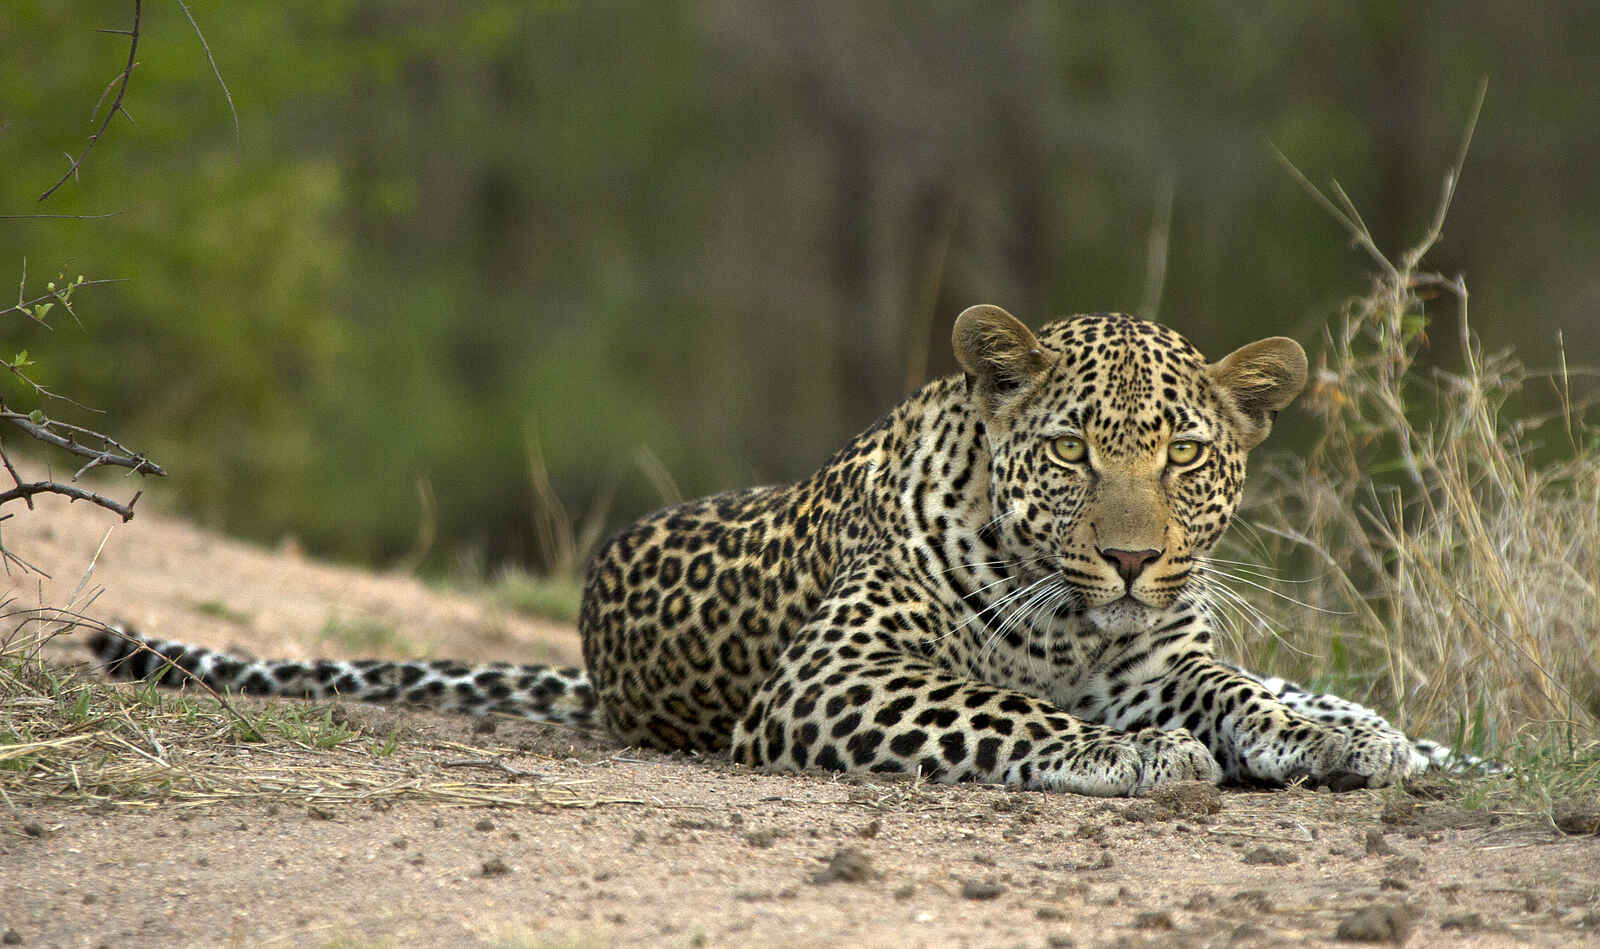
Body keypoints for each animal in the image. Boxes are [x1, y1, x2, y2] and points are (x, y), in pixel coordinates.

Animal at [90, 305, 1460, 796]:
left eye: (1182, 453)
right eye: (1072, 451)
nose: (1130, 559)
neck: (1076, 623)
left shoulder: (1160, 656)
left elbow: (1233, 686)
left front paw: (1323, 737)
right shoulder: (836, 677)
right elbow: (1011, 709)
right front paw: (1137, 754)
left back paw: (1399, 734)